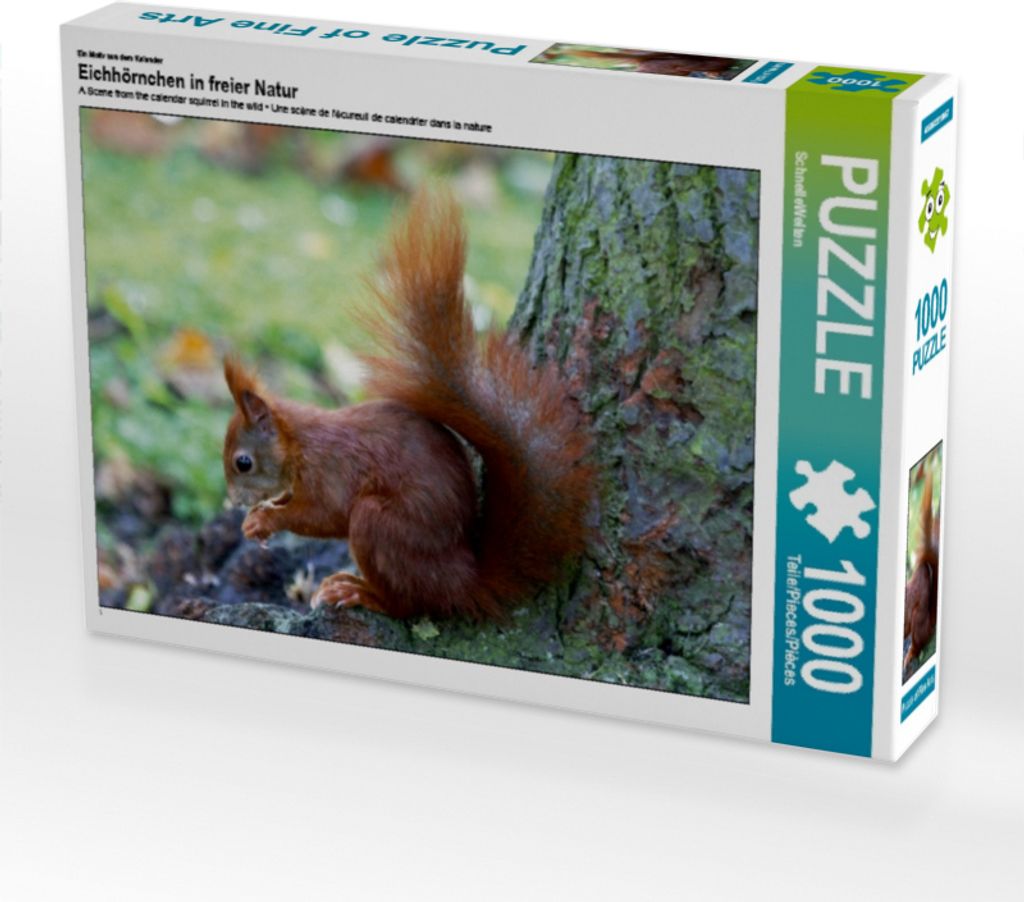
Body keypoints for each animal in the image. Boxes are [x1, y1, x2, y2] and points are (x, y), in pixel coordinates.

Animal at [222, 189, 593, 620]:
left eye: (243, 462)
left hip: (381, 526)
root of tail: (463, 581)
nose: (233, 504)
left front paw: (265, 519)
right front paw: (258, 514)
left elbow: (324, 515)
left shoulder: (330, 470)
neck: (299, 443)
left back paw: (360, 592)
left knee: (408, 604)